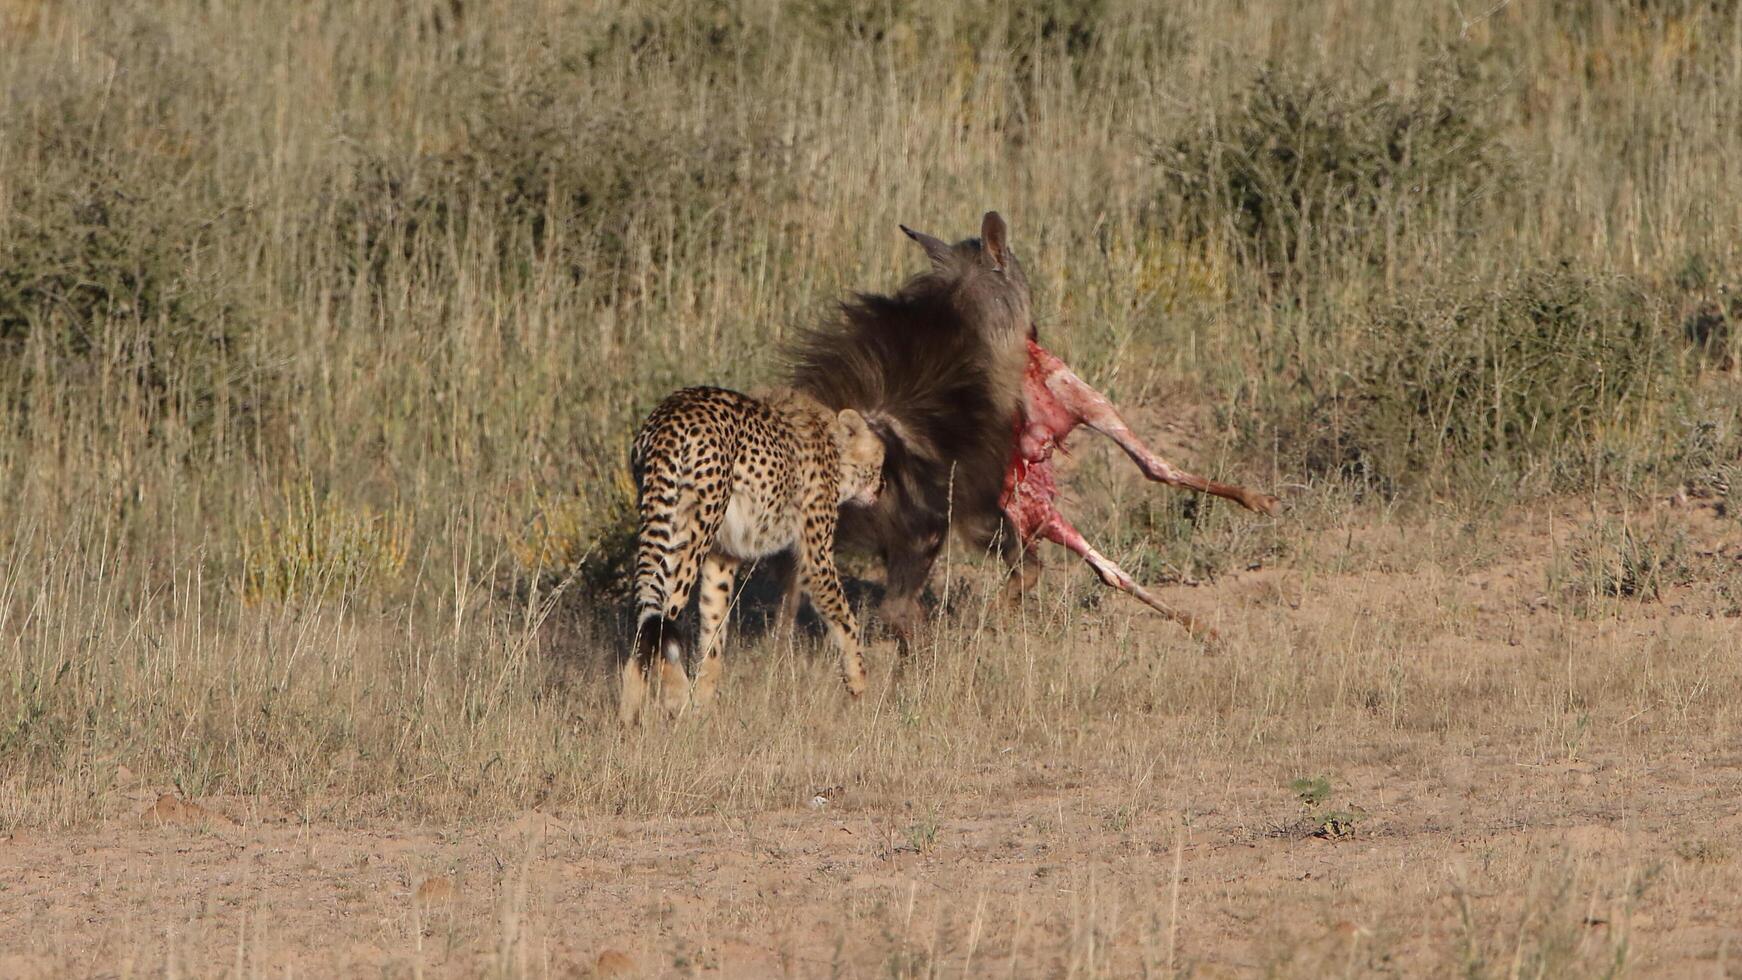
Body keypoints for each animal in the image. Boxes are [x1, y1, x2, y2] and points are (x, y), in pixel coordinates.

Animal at [623, 388, 884, 724]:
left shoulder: (722, 557)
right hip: (690, 533)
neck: (832, 441)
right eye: (879, 464)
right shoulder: (817, 559)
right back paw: (675, 693)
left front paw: (703, 707)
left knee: (645, 621)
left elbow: (714, 631)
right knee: (665, 612)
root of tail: (671, 415)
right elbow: (846, 620)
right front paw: (860, 683)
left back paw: (628, 714)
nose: (882, 486)